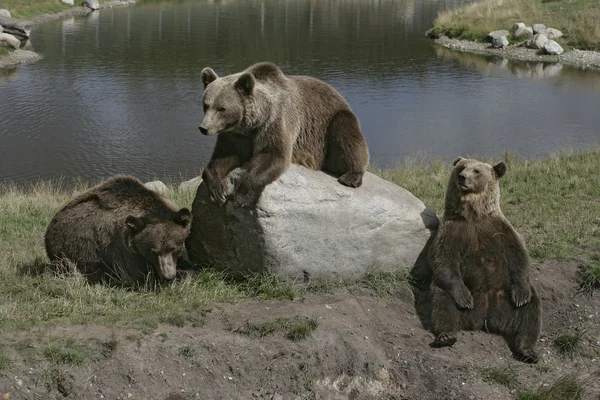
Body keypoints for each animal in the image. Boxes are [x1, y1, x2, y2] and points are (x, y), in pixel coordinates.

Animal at [44, 175, 192, 284]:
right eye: (153, 252)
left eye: (173, 248)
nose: (168, 276)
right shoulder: (122, 249)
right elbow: (139, 273)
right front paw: (182, 274)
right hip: (73, 249)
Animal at [199, 61, 370, 209]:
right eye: (206, 105)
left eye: (221, 108)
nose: (204, 128)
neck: (252, 123)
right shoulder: (236, 135)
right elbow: (225, 156)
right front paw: (218, 190)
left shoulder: (276, 121)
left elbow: (274, 155)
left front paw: (242, 197)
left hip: (331, 122)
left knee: (347, 134)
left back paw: (351, 176)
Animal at [428, 156, 540, 362]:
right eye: (462, 167)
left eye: (477, 171)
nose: (462, 177)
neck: (473, 215)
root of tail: (485, 317)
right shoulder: (453, 231)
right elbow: (443, 260)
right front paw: (464, 299)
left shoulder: (498, 229)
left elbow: (518, 256)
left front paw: (521, 295)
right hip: (459, 293)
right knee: (443, 302)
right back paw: (446, 335)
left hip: (505, 293)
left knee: (530, 311)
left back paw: (527, 350)